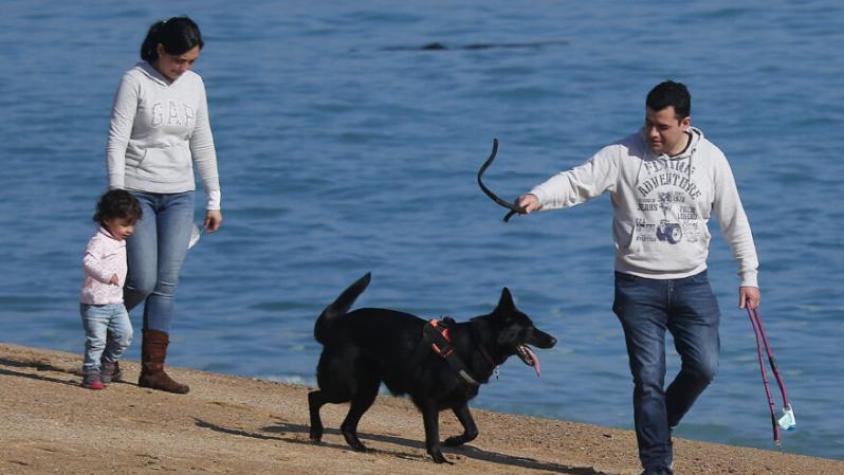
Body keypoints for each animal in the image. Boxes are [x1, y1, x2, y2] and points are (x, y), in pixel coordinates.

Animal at [306, 274, 556, 462]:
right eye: (529, 328)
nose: (554, 340)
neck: (476, 343)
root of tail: (335, 326)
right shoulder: (430, 402)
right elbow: (433, 434)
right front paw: (439, 457)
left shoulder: (459, 401)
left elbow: (472, 430)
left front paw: (453, 441)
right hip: (345, 388)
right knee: (313, 397)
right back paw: (316, 432)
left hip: (365, 392)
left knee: (347, 424)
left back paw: (357, 445)